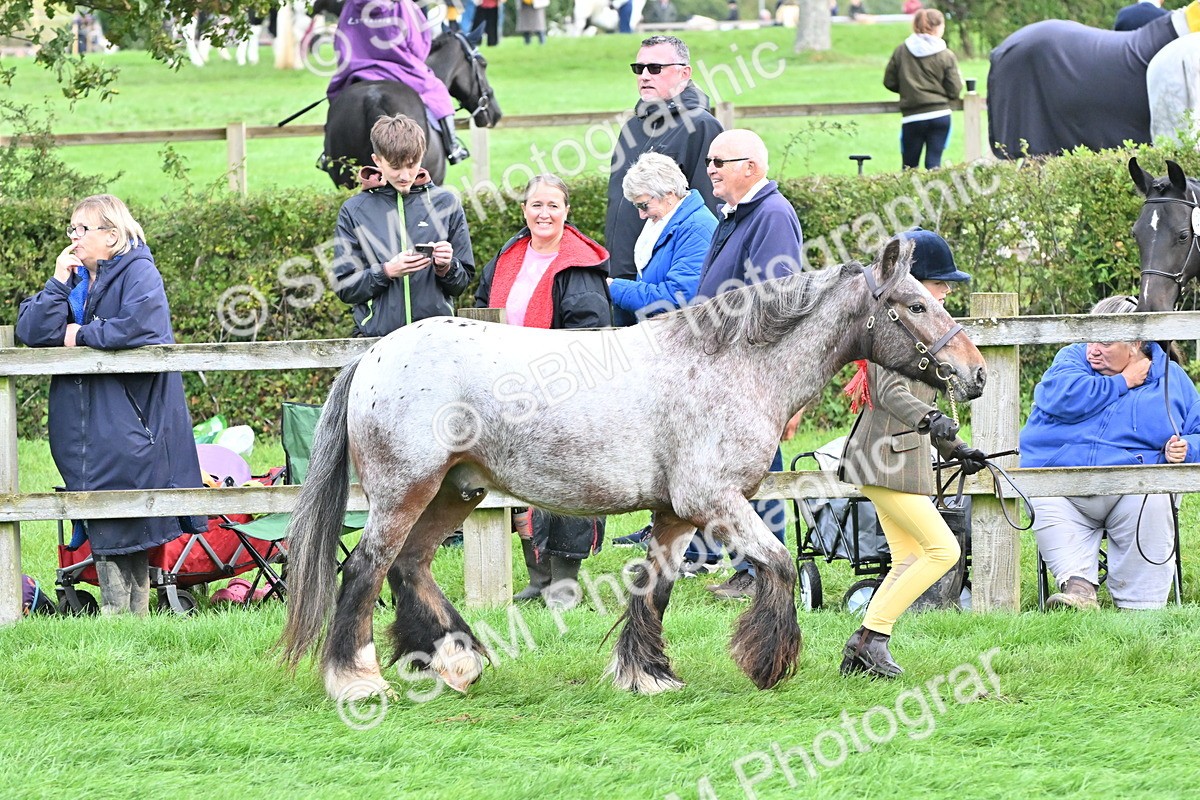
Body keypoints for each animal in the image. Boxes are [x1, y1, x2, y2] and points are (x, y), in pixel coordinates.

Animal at [278, 238, 988, 703]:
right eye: (915, 305)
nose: (975, 373)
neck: (730, 363)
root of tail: (374, 356)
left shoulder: (675, 515)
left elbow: (655, 586)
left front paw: (648, 675)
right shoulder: (716, 502)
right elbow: (781, 565)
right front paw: (766, 663)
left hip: (453, 494)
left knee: (409, 566)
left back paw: (456, 663)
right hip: (405, 492)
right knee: (364, 570)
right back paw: (358, 682)